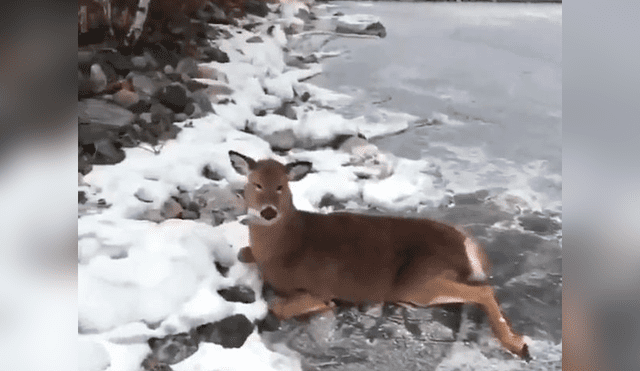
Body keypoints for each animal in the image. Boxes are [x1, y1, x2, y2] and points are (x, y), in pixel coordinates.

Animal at [228, 150, 532, 360]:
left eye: (282, 186)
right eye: (254, 183)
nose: (268, 212)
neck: (286, 247)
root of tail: (465, 243)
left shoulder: (320, 287)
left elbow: (279, 307)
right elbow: (243, 253)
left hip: (418, 281)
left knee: (484, 291)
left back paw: (516, 345)